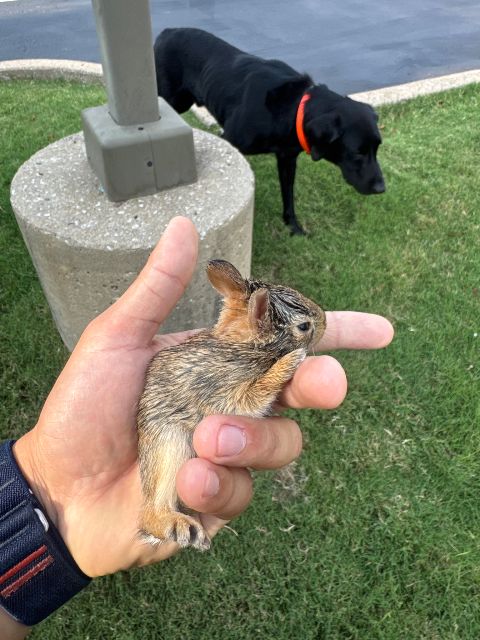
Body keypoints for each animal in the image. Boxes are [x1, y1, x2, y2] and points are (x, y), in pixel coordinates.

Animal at [137, 259, 326, 550]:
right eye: (304, 327)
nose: (325, 320)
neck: (243, 343)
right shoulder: (222, 392)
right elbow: (251, 397)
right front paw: (291, 361)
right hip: (169, 445)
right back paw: (181, 526)